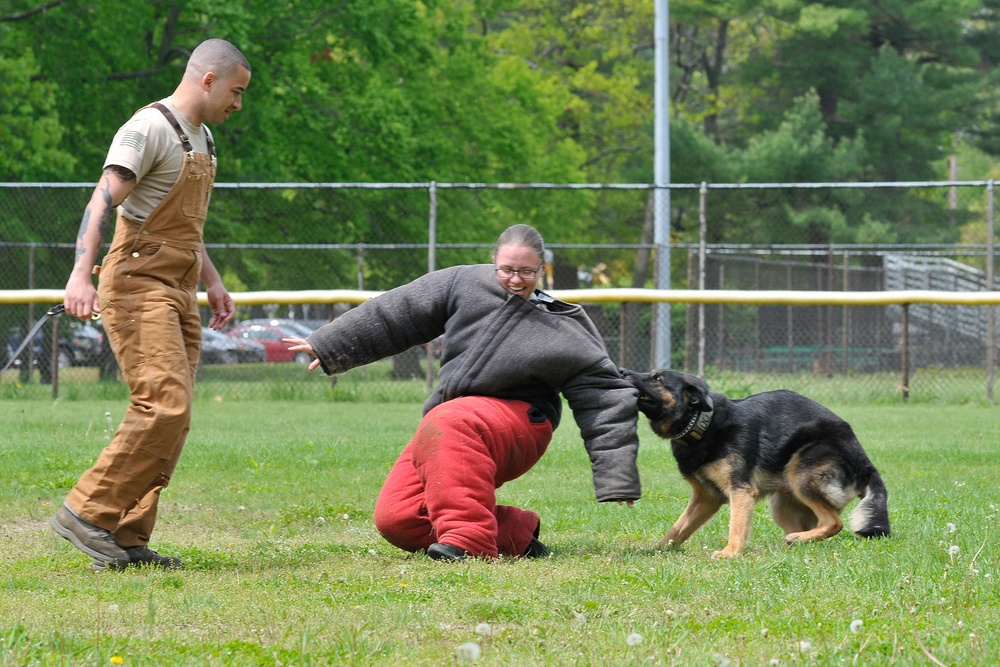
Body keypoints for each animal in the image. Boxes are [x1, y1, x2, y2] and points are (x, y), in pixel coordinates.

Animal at [616, 370, 892, 560]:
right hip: (782, 504)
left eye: (658, 378)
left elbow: (736, 526)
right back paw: (792, 543)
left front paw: (730, 552)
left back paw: (796, 539)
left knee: (833, 522)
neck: (703, 423)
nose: (622, 372)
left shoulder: (740, 491)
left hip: (801, 471)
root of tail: (865, 463)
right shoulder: (706, 498)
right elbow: (678, 529)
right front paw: (656, 550)